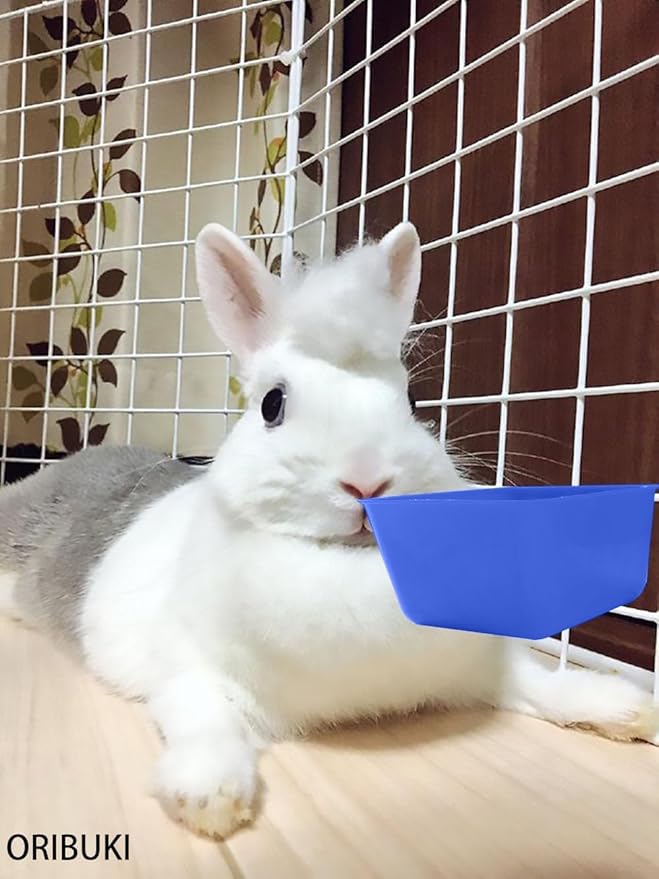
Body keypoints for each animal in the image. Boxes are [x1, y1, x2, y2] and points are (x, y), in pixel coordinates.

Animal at [0, 221, 657, 841]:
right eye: (272, 404)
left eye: (414, 403)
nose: (367, 481)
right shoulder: (189, 674)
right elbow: (205, 724)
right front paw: (211, 799)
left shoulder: (482, 662)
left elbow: (539, 682)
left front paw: (627, 710)